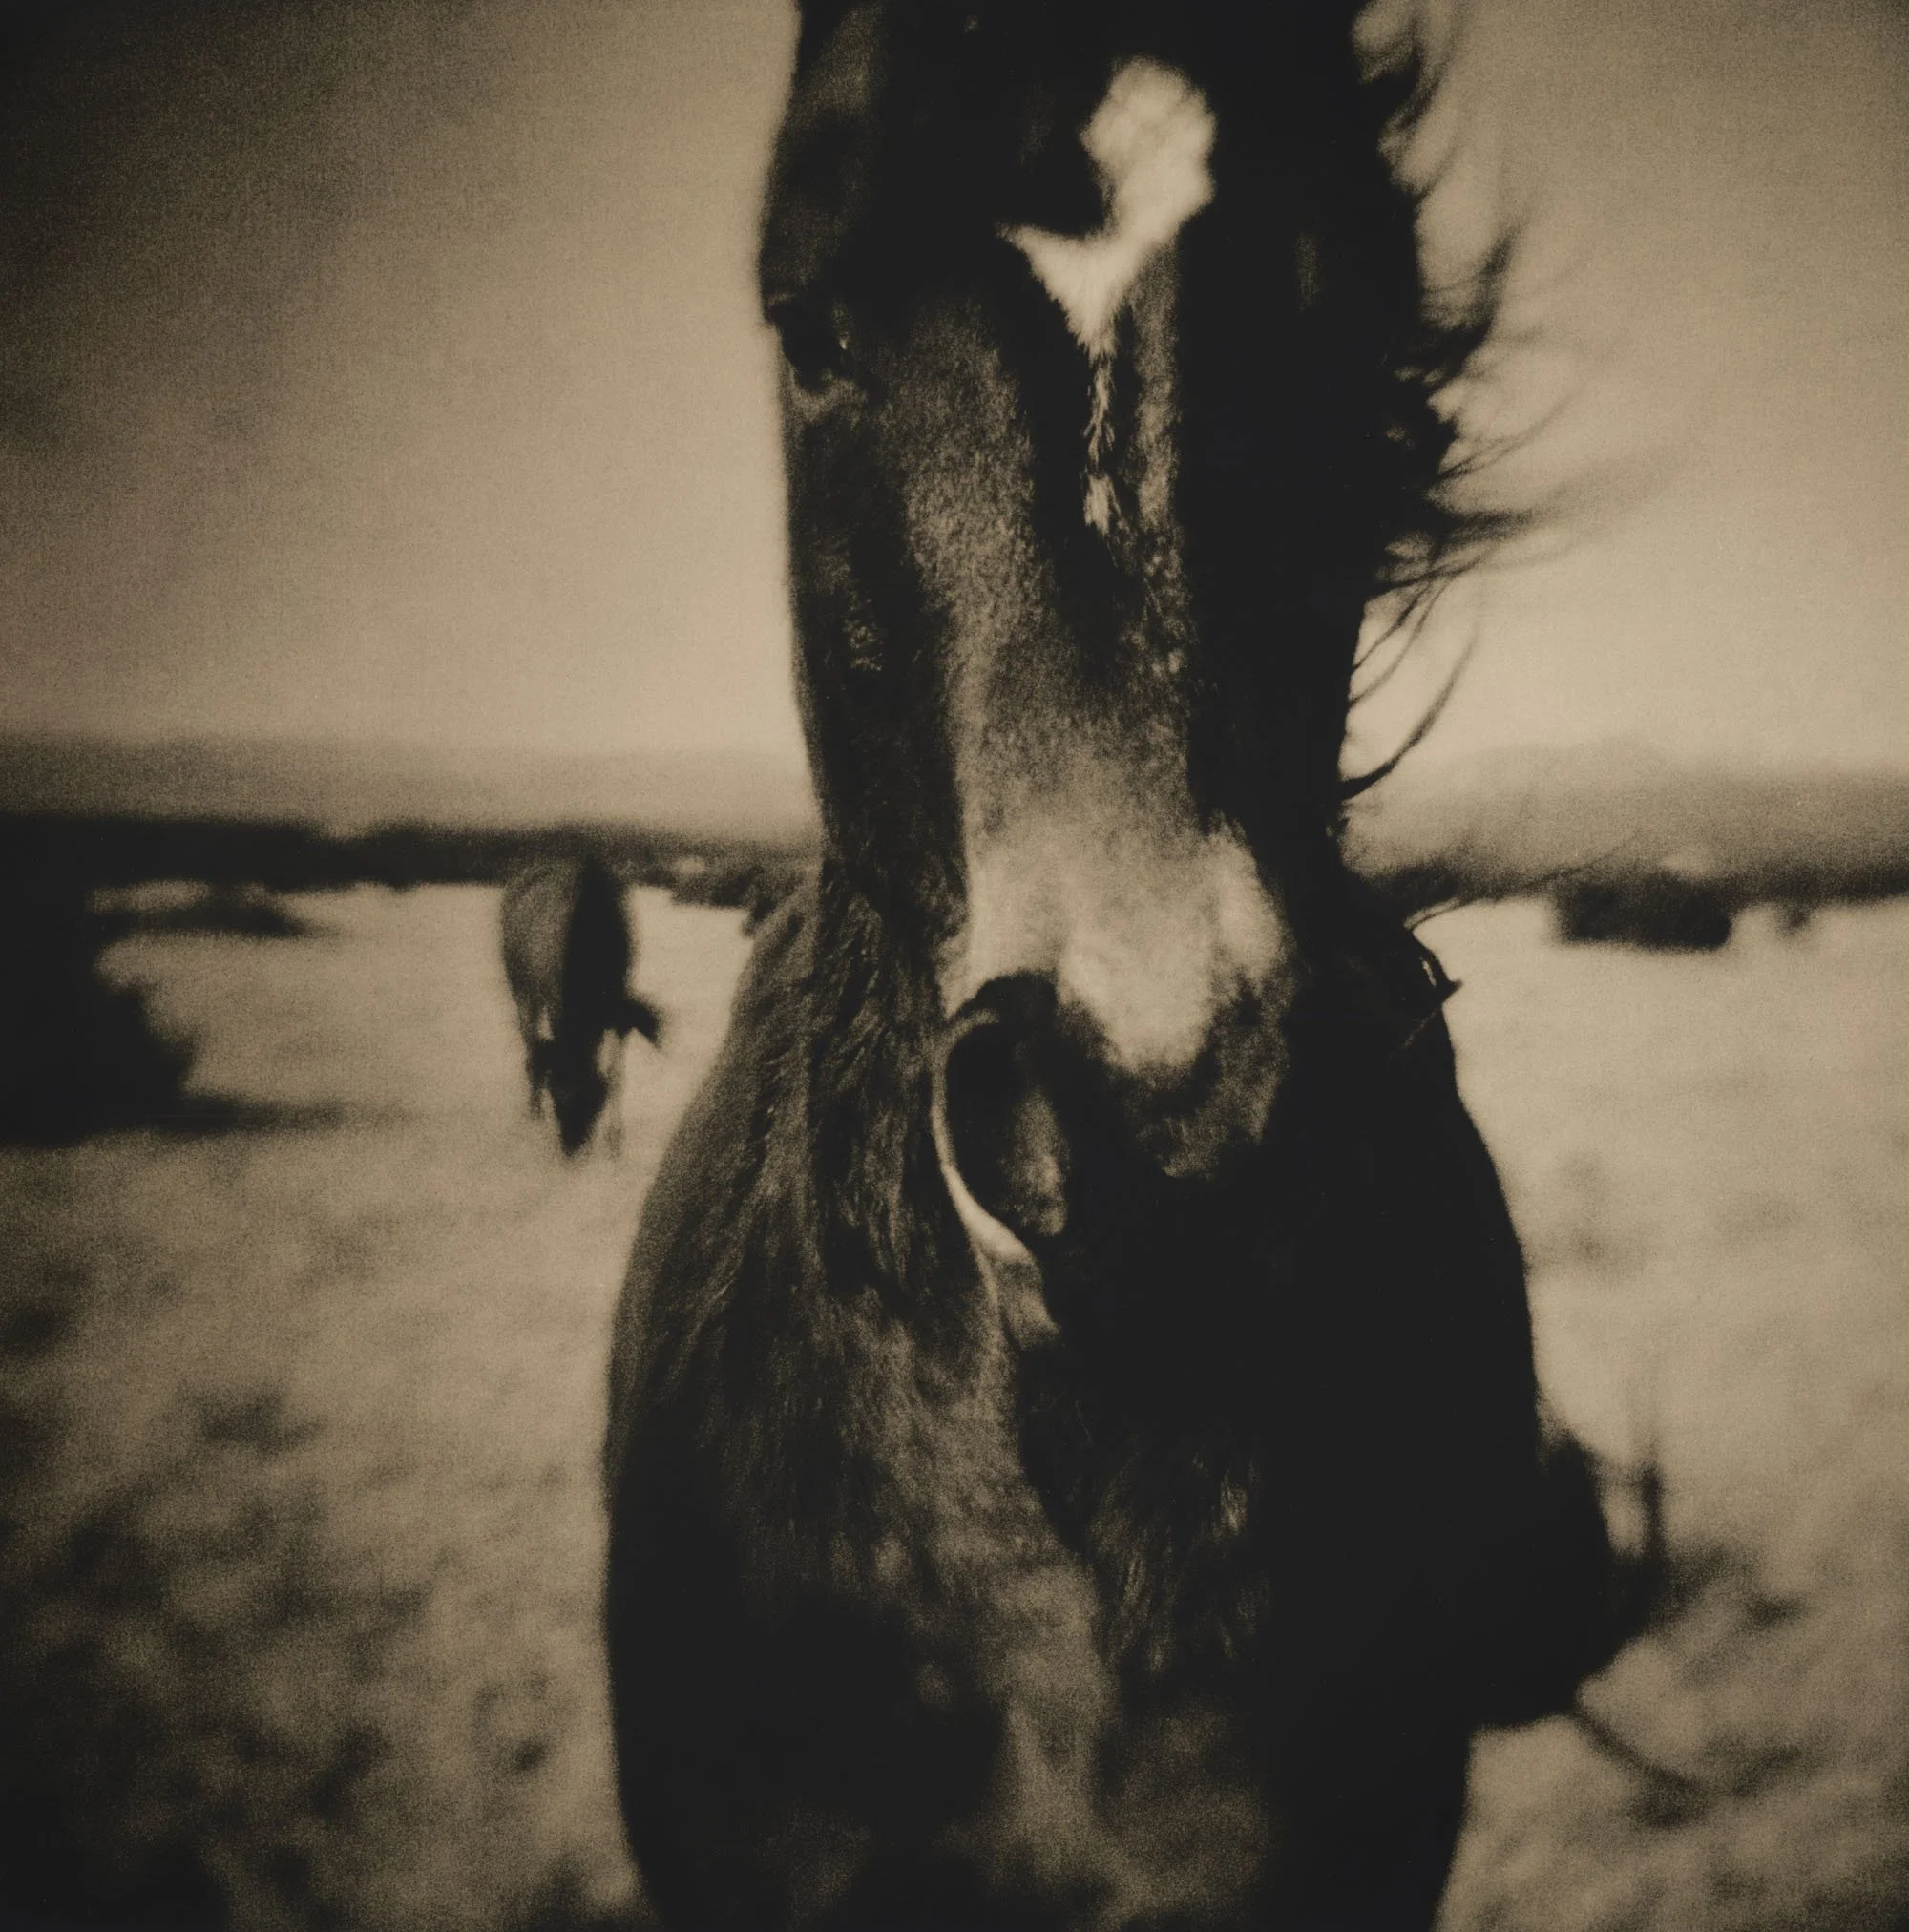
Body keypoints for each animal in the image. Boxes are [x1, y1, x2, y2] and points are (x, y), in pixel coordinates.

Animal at [500, 854, 662, 1155]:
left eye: (593, 1099)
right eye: (556, 1095)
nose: (570, 1149)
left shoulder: (620, 1006)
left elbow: (616, 1073)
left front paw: (614, 1139)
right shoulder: (556, 1003)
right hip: (520, 986)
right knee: (529, 1039)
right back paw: (533, 1106)